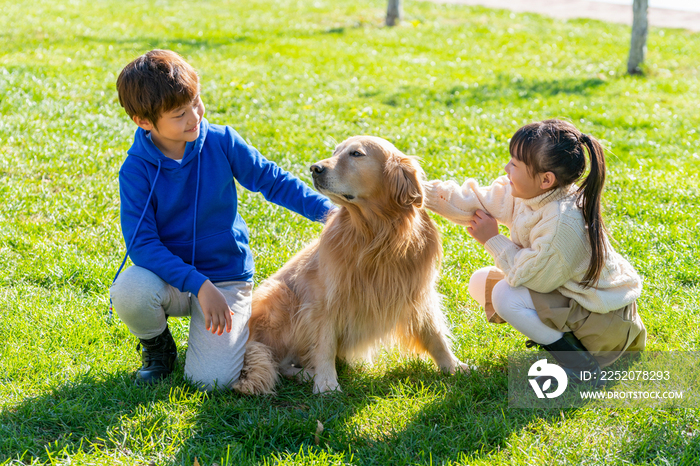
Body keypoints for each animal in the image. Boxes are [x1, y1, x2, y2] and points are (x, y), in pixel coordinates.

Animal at [232, 137, 468, 396]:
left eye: (356, 154)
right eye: (335, 151)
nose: (314, 168)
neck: (377, 235)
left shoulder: (417, 291)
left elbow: (435, 334)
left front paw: (453, 366)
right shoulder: (324, 300)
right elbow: (324, 344)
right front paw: (326, 384)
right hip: (280, 295)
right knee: (276, 360)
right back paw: (307, 374)